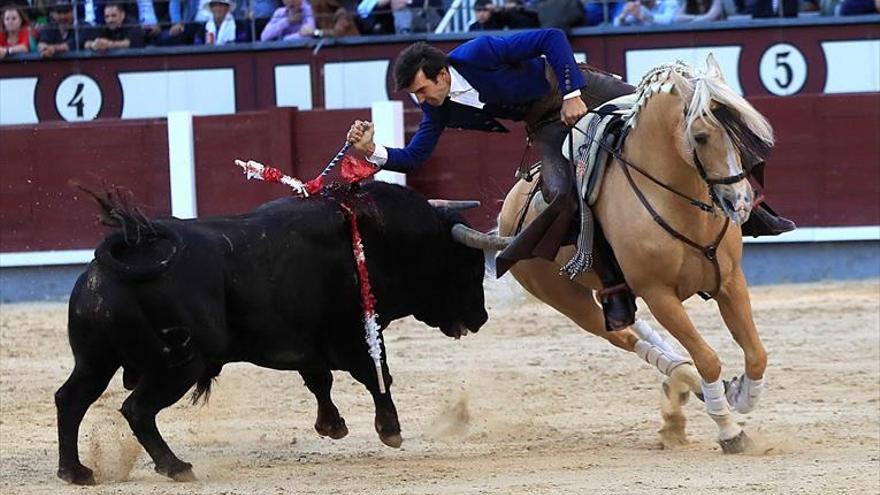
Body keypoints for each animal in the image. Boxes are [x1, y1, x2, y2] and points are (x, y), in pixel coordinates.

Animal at [56, 181, 488, 484]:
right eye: (468, 266)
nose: (481, 317)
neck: (378, 236)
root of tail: (125, 253)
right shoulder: (357, 331)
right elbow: (376, 375)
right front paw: (390, 431)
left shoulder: (304, 341)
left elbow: (320, 380)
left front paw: (332, 426)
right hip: (178, 365)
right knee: (138, 409)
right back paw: (176, 466)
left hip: (95, 360)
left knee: (71, 399)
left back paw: (75, 472)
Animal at [498, 56, 772, 456]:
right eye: (701, 136)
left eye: (738, 132)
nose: (739, 202)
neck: (679, 203)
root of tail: (508, 210)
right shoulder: (660, 295)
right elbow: (708, 358)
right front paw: (729, 430)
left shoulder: (731, 280)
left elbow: (756, 354)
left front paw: (739, 394)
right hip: (567, 300)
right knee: (625, 337)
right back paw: (682, 381)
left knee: (637, 328)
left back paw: (682, 386)